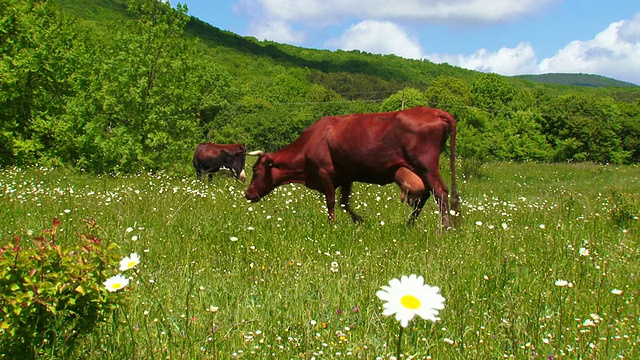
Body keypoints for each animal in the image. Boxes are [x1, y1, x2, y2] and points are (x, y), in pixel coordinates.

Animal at [245, 105, 460, 226]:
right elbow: (344, 202)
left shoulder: (325, 173)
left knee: (440, 192)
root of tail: (436, 111)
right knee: (428, 194)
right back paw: (412, 224)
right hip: (419, 169)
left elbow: (331, 201)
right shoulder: (346, 176)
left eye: (255, 170)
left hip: (426, 165)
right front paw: (359, 220)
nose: (247, 194)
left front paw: (331, 224)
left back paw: (445, 229)